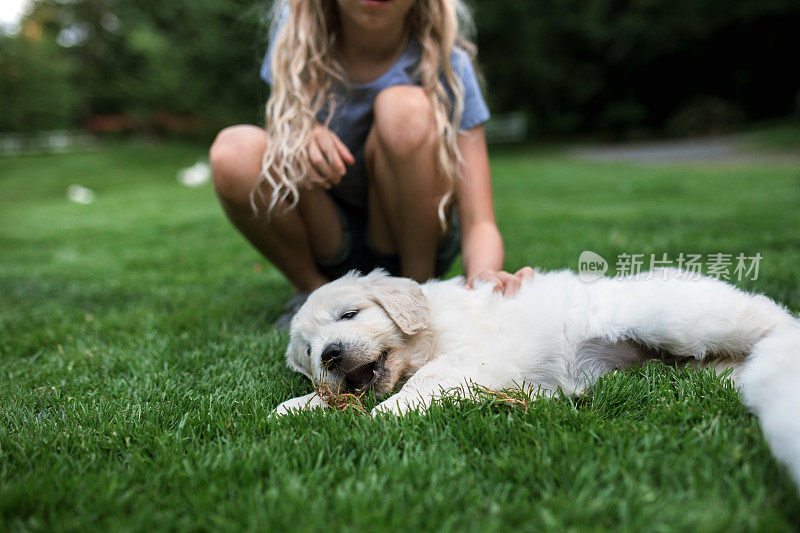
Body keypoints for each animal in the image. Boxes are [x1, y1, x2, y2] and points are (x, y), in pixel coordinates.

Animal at [274, 270, 800, 486]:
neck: (429, 332)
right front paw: (293, 408)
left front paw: (383, 416)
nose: (331, 354)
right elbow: (333, 398)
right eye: (310, 352)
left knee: (768, 316)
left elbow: (422, 383)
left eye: (349, 314)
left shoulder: (471, 357)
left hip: (679, 318)